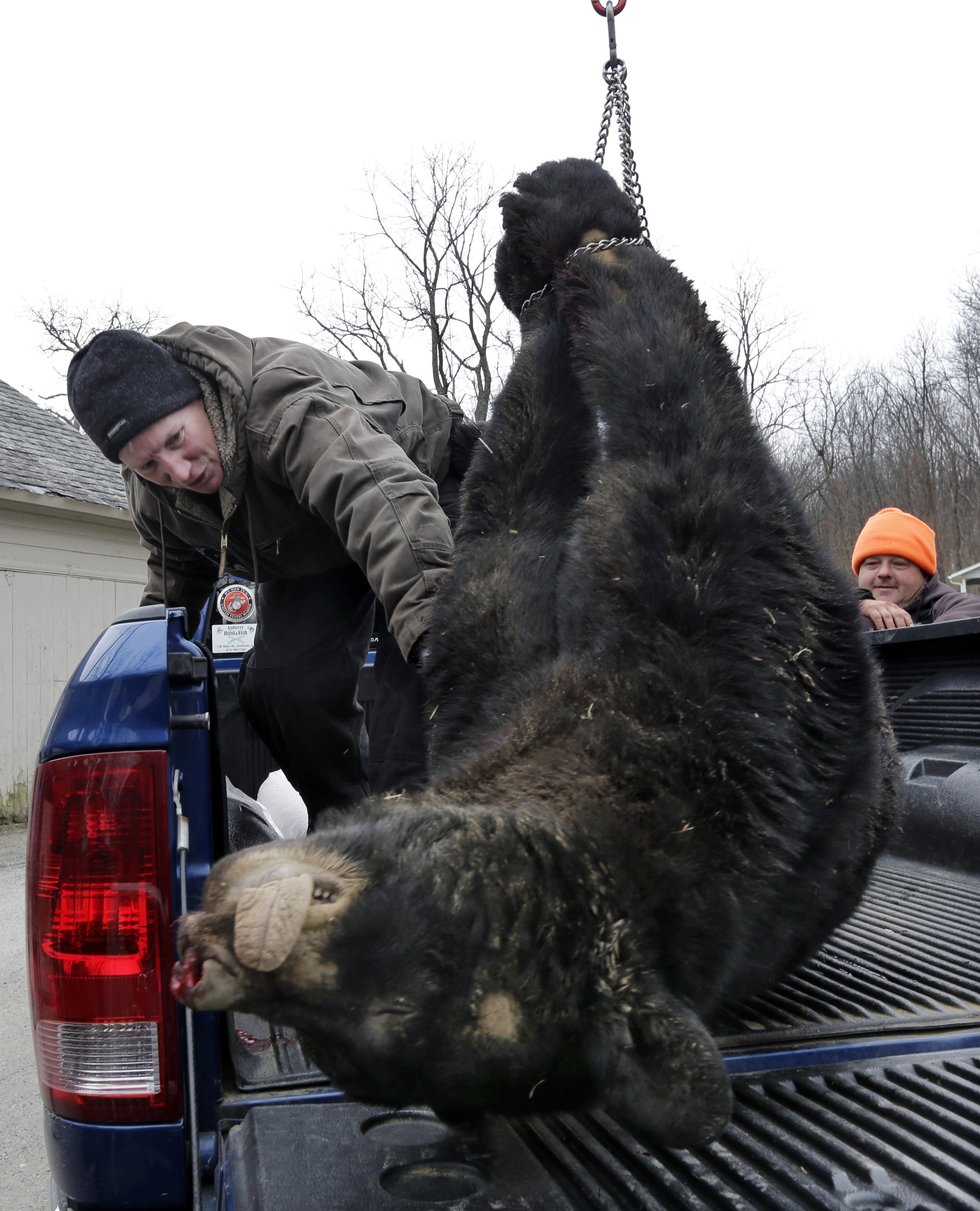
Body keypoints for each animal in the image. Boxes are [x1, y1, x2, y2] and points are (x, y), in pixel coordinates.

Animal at [169, 156, 896, 1148]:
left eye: (351, 1035)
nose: (224, 943)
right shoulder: (494, 682)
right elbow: (507, 511)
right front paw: (542, 266)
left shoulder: (727, 650)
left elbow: (660, 426)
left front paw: (578, 213)